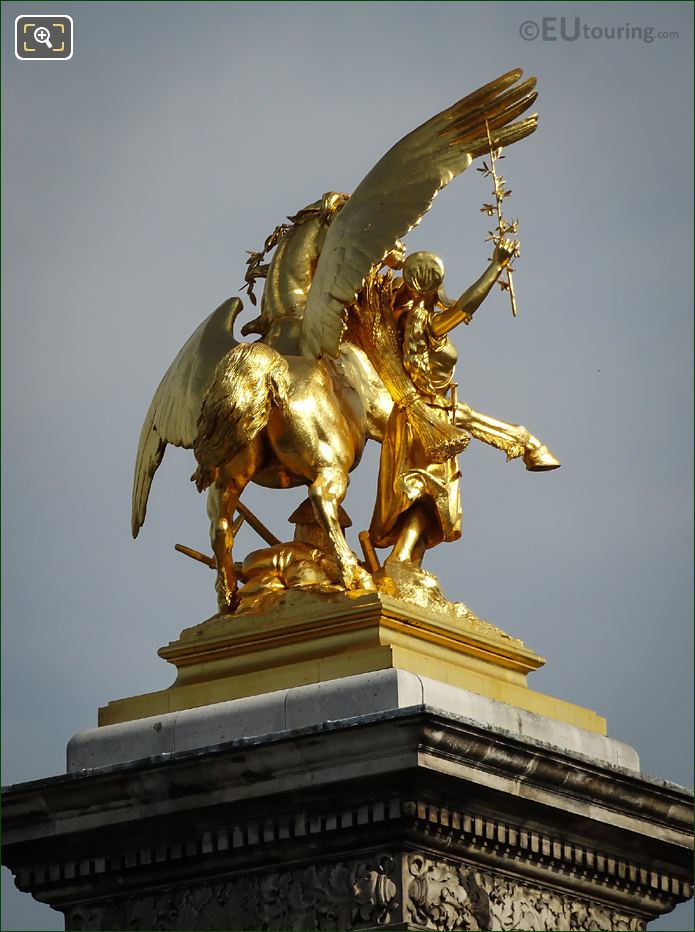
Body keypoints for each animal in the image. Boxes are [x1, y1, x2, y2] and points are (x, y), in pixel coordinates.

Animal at [133, 73, 540, 612]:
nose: (400, 250)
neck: (291, 318)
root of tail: (267, 372)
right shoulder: (392, 411)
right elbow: (461, 417)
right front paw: (531, 449)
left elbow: (464, 415)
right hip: (331, 463)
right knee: (323, 502)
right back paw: (354, 575)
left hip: (233, 472)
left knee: (221, 520)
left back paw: (231, 598)